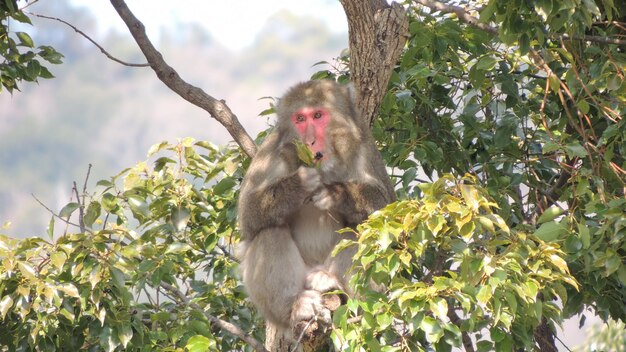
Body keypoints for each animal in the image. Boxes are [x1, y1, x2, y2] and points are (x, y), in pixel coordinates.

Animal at [236, 80, 392, 332]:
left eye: (318, 115)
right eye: (300, 119)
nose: (309, 141)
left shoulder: (365, 147)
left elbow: (387, 208)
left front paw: (336, 193)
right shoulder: (271, 152)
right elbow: (248, 214)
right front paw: (298, 184)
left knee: (361, 226)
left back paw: (337, 287)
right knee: (269, 230)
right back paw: (296, 306)